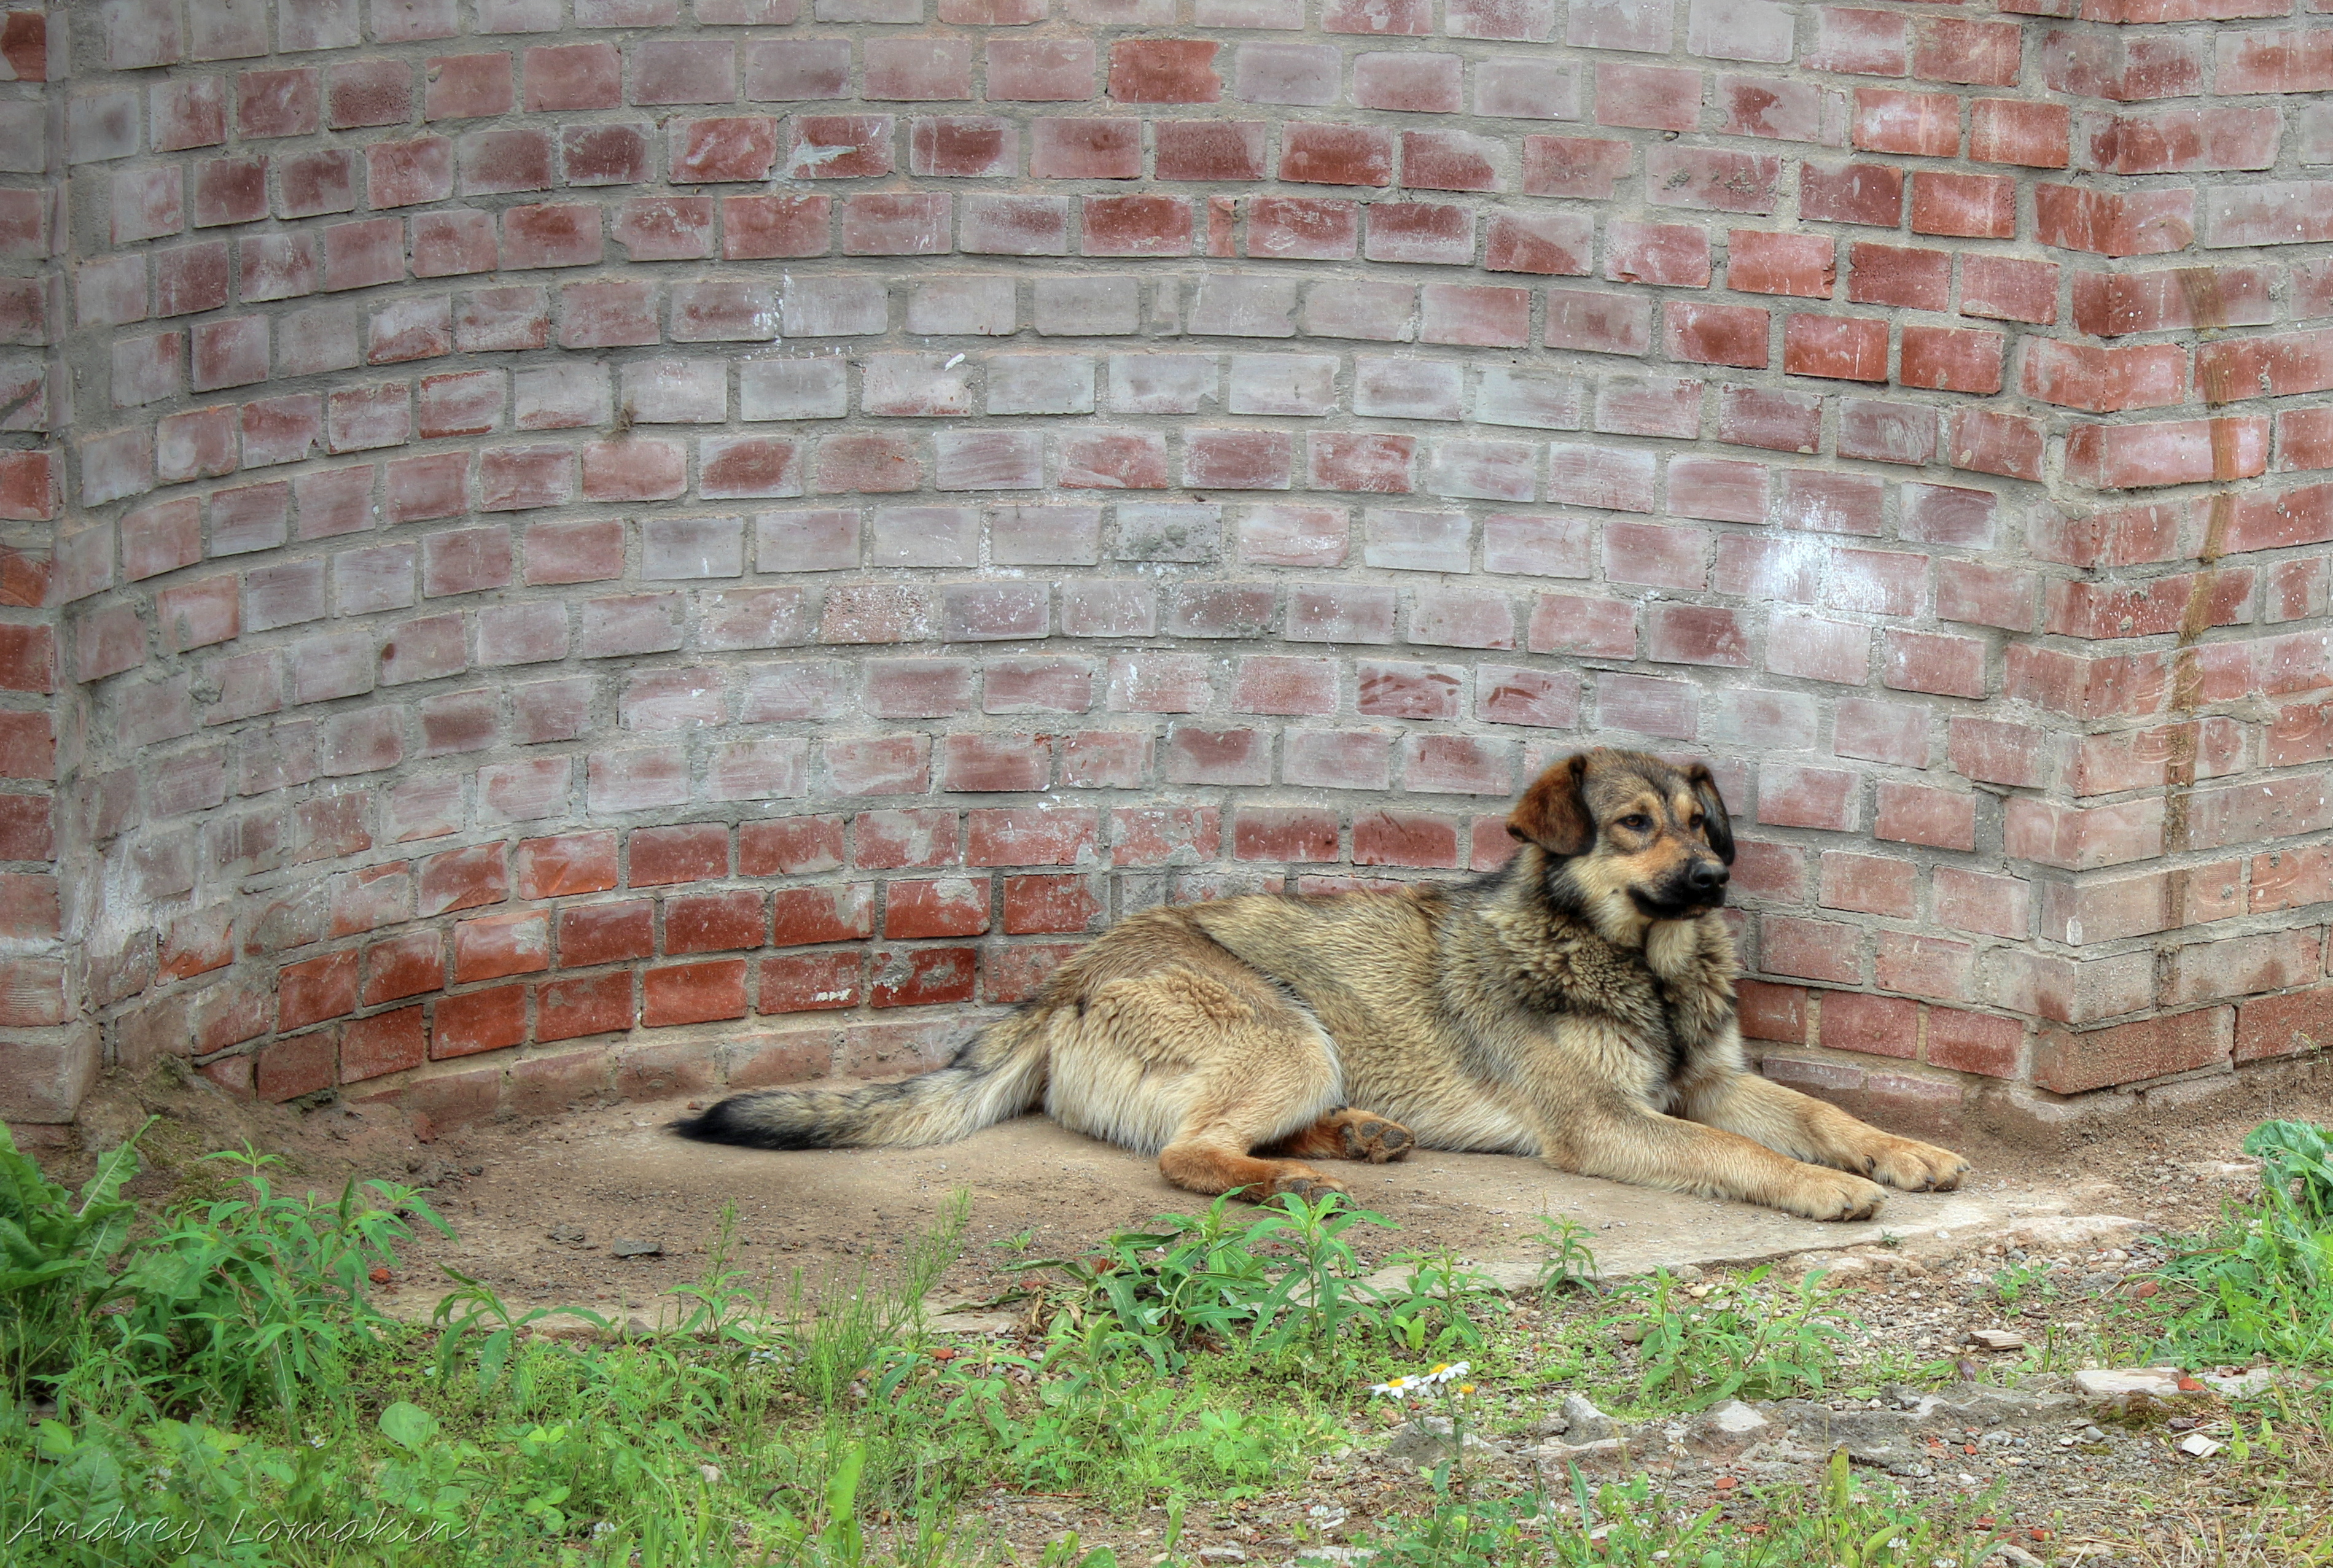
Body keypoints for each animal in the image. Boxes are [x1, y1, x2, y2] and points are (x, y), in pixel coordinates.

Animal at [676, 751, 1969, 1222]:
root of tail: (1066, 974)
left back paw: (1354, 1137)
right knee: (1186, 1152)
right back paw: (1298, 1177)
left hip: (1301, 1048)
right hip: (1288, 1027)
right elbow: (1742, 1152)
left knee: (1216, 1133)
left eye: (1701, 821)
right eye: (1634, 825)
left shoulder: (1707, 1080)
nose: (1710, 880)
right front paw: (1822, 1189)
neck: (1629, 962)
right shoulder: (1609, 1119)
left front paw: (1898, 1152)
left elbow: (1816, 1112)